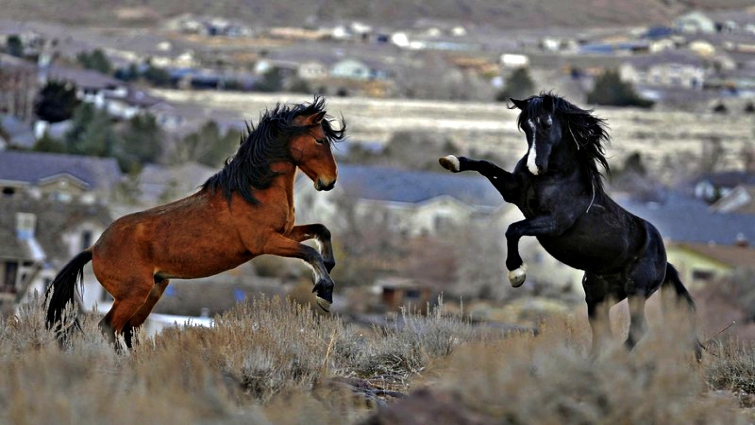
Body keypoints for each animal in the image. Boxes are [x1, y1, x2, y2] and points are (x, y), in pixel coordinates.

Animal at [46, 96, 346, 348]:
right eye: (320, 141)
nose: (329, 181)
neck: (253, 190)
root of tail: (94, 248)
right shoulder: (265, 242)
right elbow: (308, 252)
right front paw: (325, 291)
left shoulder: (286, 232)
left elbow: (322, 230)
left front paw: (329, 266)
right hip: (134, 293)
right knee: (109, 327)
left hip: (154, 289)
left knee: (128, 329)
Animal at [439, 93, 701, 357]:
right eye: (525, 127)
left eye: (546, 124)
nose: (535, 166)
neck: (554, 177)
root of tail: (664, 260)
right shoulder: (511, 191)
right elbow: (486, 165)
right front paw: (451, 161)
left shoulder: (553, 223)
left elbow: (513, 229)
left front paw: (516, 274)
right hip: (599, 296)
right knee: (602, 332)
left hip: (636, 290)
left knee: (638, 329)